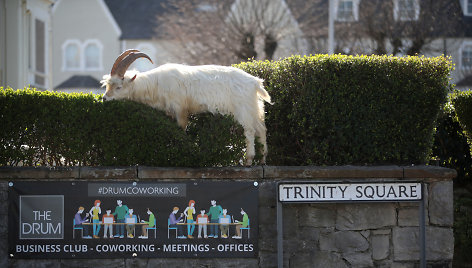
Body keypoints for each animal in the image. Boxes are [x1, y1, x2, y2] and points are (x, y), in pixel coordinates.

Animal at [102, 49, 272, 164]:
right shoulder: (170, 112)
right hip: (255, 107)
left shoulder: (181, 110)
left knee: (249, 131)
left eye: (118, 87)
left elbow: (182, 129)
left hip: (243, 110)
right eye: (107, 85)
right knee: (261, 129)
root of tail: (255, 83)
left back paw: (248, 160)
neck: (156, 84)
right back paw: (262, 159)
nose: (104, 99)